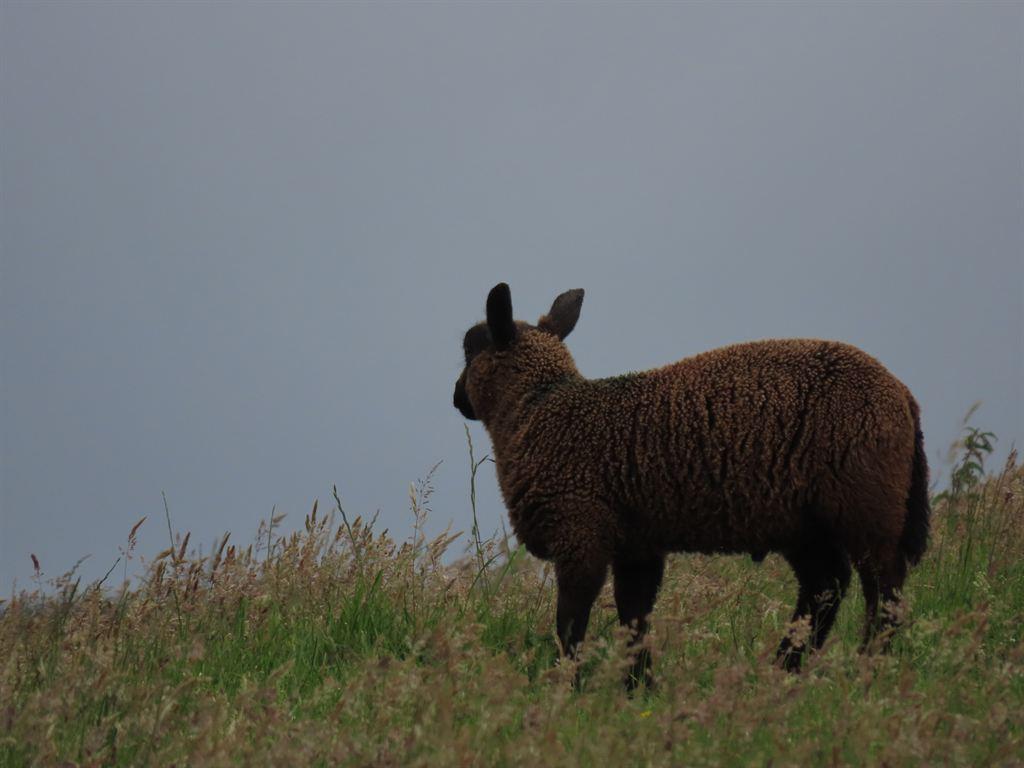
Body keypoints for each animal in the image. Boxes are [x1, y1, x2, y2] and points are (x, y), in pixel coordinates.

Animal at [453, 283, 930, 686]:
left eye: (469, 348)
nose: (457, 399)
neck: (536, 411)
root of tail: (904, 398)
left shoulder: (579, 533)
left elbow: (570, 625)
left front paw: (566, 689)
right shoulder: (637, 547)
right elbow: (635, 618)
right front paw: (639, 690)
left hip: (867, 505)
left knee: (883, 592)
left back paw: (866, 669)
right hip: (807, 522)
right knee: (825, 587)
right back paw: (782, 671)